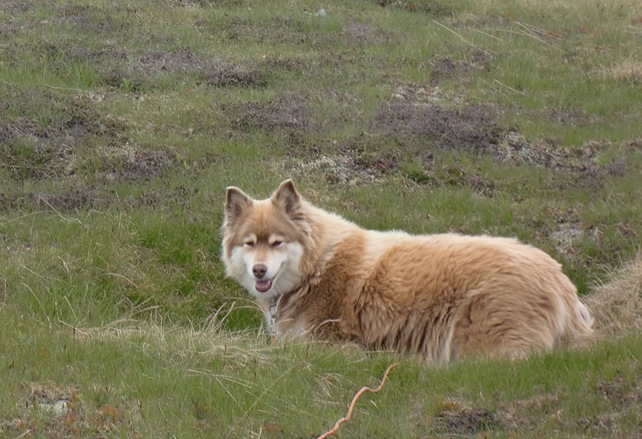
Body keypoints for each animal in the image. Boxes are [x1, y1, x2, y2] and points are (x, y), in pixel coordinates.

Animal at [220, 179, 592, 364]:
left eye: (277, 242)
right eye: (250, 244)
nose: (259, 271)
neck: (315, 267)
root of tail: (561, 281)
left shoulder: (326, 342)